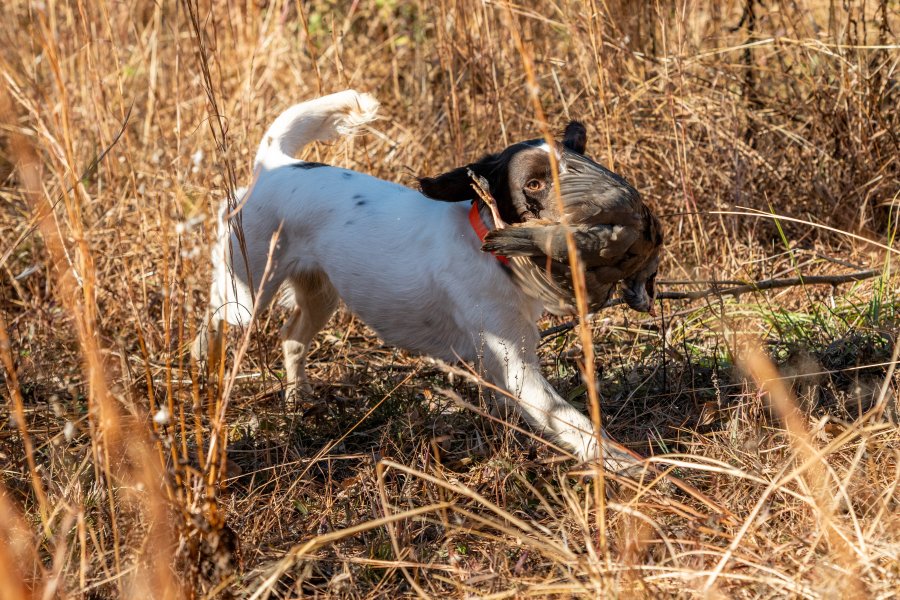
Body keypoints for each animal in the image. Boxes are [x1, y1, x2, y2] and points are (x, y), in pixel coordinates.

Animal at [197, 89, 648, 466]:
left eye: (582, 168)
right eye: (533, 183)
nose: (594, 215)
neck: (489, 246)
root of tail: (275, 165)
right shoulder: (517, 367)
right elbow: (578, 423)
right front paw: (627, 465)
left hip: (321, 292)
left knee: (290, 337)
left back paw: (298, 399)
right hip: (247, 293)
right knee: (214, 317)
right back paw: (204, 364)